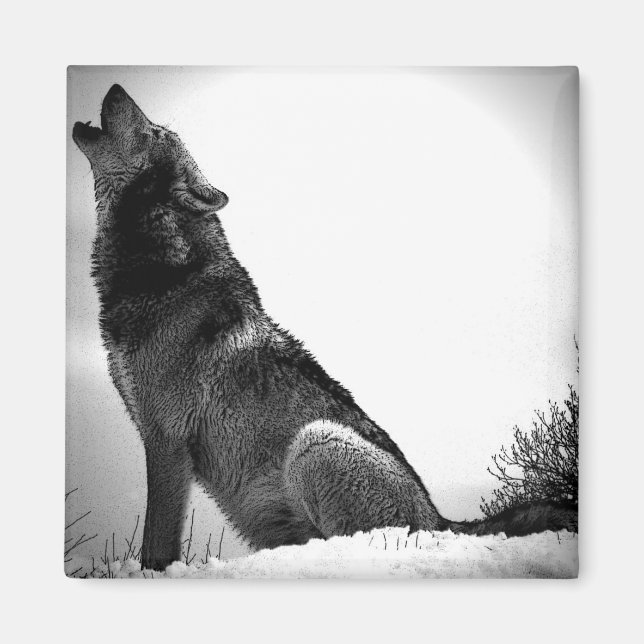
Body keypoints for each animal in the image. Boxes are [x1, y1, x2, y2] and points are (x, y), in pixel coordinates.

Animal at [73, 84, 577, 571]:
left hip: (315, 442)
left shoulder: (166, 441)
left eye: (153, 131)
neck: (164, 271)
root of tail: (440, 521)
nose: (115, 86)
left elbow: (156, 543)